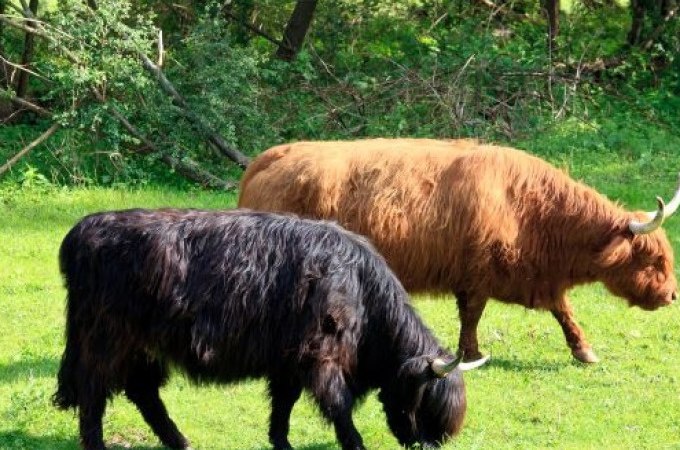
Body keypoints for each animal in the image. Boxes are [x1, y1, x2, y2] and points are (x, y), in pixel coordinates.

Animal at [53, 209, 472, 450]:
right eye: (427, 403)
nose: (427, 445)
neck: (361, 289)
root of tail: (81, 230)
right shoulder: (321, 354)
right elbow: (337, 406)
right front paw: (355, 445)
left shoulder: (290, 359)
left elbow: (283, 405)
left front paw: (280, 443)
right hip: (107, 336)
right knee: (94, 390)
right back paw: (99, 445)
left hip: (140, 342)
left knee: (142, 390)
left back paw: (180, 441)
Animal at [236, 140, 676, 366]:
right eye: (653, 260)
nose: (673, 295)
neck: (531, 210)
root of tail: (266, 158)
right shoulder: (479, 274)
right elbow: (474, 316)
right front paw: (472, 353)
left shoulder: (528, 278)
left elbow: (561, 310)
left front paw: (583, 349)